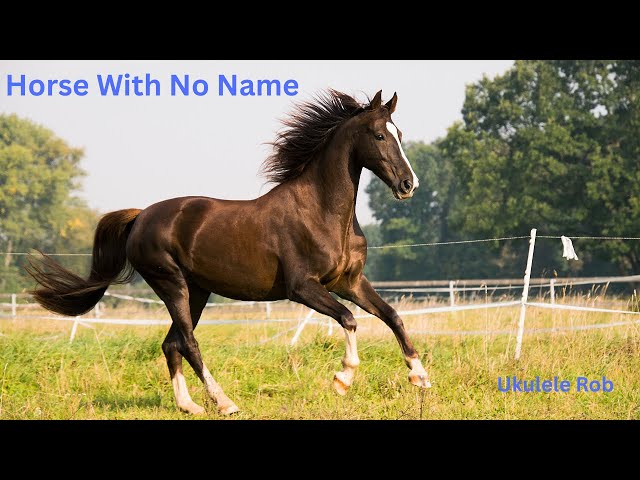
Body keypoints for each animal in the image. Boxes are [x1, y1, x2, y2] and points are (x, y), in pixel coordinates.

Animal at [25, 89, 431, 415]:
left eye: (399, 134)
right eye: (379, 135)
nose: (408, 185)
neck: (322, 212)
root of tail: (140, 216)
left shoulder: (349, 282)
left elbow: (392, 316)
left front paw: (420, 376)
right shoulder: (304, 288)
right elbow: (349, 319)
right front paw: (343, 378)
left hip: (197, 291)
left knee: (171, 343)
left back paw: (189, 406)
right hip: (171, 284)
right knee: (188, 342)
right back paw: (224, 402)